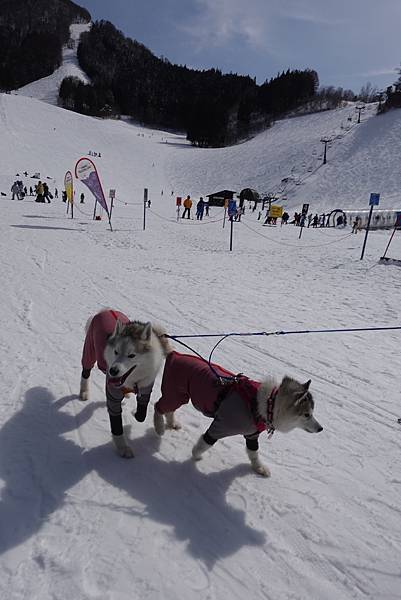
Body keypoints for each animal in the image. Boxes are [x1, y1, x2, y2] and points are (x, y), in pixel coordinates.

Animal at [79, 310, 170, 460]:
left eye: (131, 355)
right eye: (116, 351)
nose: (113, 370)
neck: (133, 381)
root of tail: (105, 310)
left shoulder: (145, 390)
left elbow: (141, 415)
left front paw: (157, 426)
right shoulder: (113, 396)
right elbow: (117, 426)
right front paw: (122, 447)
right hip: (89, 350)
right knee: (85, 372)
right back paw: (84, 391)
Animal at [153, 350, 322, 476]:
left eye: (312, 412)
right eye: (307, 414)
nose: (321, 429)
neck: (267, 404)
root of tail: (174, 353)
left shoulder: (252, 435)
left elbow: (254, 453)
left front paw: (259, 468)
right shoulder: (219, 427)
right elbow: (204, 443)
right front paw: (196, 455)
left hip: (180, 395)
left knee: (169, 409)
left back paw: (172, 423)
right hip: (175, 393)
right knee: (158, 407)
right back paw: (159, 427)